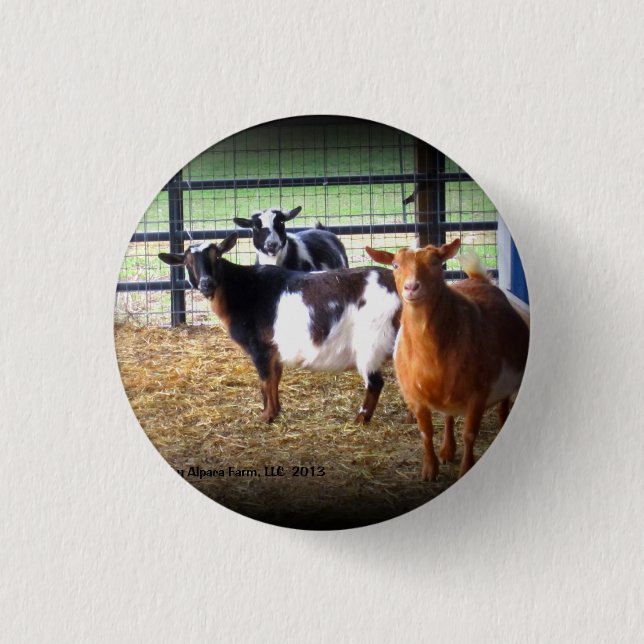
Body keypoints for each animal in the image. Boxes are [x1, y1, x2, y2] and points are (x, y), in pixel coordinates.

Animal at [159, 233, 400, 423]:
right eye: (187, 261)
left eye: (216, 256)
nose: (206, 283)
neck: (241, 289)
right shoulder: (275, 350)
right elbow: (274, 379)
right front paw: (273, 411)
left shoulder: (260, 348)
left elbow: (265, 381)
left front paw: (267, 416)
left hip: (370, 344)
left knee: (375, 383)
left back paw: (360, 419)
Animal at [366, 239, 529, 481]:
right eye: (395, 265)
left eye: (436, 262)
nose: (411, 287)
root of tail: (478, 279)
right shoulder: (414, 396)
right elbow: (426, 432)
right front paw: (429, 469)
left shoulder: (478, 394)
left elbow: (469, 434)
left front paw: (466, 469)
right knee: (448, 417)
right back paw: (447, 450)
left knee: (503, 405)